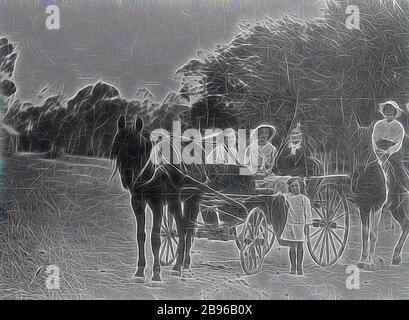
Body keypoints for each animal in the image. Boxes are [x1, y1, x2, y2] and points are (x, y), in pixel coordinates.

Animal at [110, 116, 201, 282]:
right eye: (117, 148)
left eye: (138, 150)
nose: (127, 180)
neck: (150, 171)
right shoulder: (137, 203)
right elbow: (141, 236)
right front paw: (139, 271)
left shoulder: (157, 205)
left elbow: (155, 239)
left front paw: (156, 273)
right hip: (177, 202)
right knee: (183, 227)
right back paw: (180, 265)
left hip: (191, 200)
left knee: (186, 230)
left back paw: (182, 266)